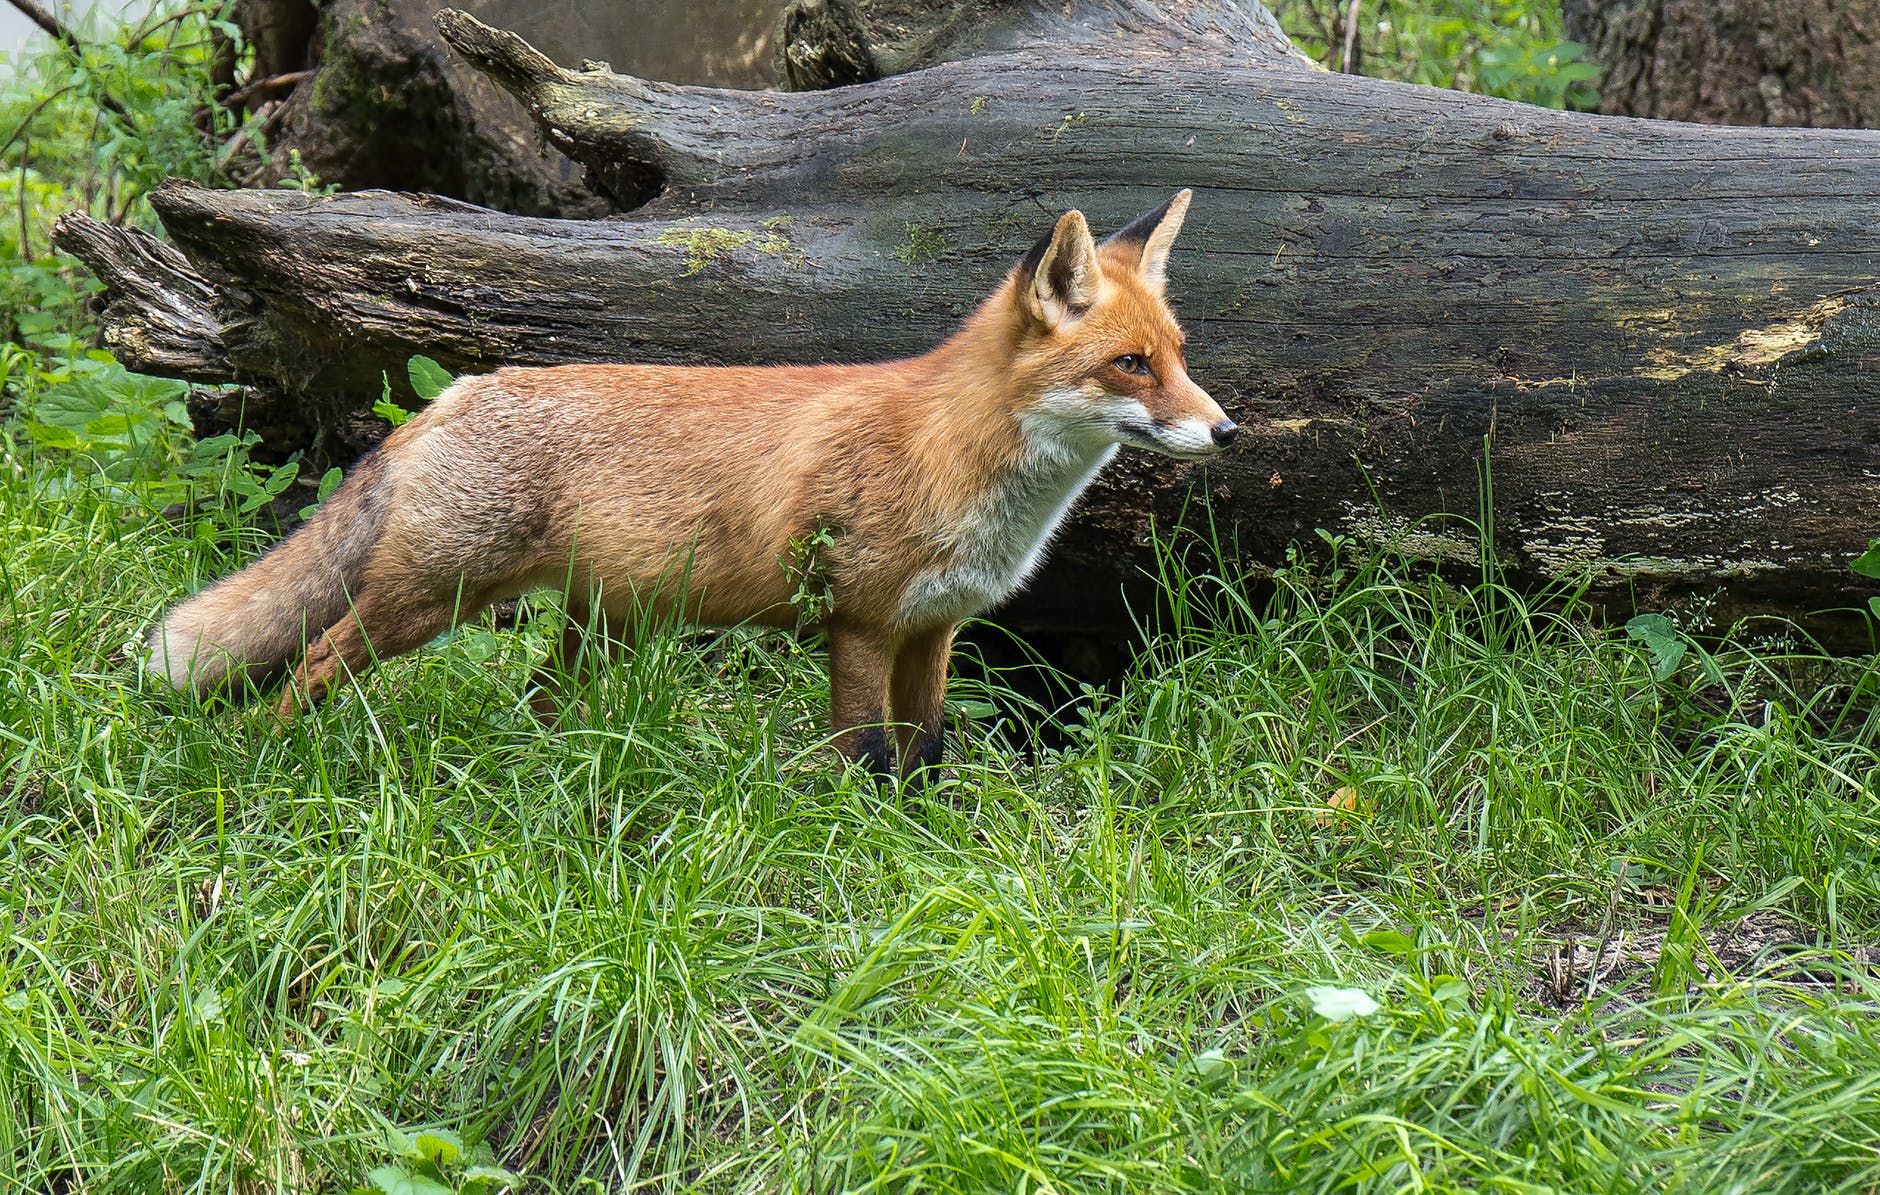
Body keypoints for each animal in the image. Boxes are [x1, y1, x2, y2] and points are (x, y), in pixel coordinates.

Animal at [145, 189, 1235, 780]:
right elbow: (865, 760)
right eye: (1129, 365)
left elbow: (924, 759)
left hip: (596, 626)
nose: (1224, 430)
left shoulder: (934, 629)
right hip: (427, 600)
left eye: (1179, 357)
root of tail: (457, 389)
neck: (953, 458)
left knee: (537, 701)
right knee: (311, 661)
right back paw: (268, 761)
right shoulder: (859, 624)